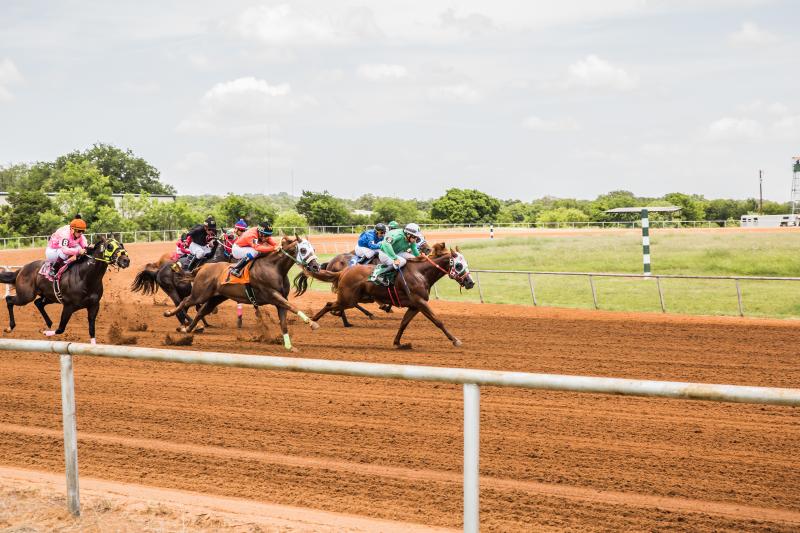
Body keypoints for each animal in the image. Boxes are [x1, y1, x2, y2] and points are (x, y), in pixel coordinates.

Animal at [0, 236, 130, 342]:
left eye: (121, 244)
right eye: (110, 246)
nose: (126, 260)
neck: (85, 277)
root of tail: (21, 269)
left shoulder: (94, 305)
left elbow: (92, 330)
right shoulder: (68, 306)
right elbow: (60, 329)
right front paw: (46, 333)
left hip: (49, 296)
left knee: (38, 303)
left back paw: (49, 323)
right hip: (25, 296)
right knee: (9, 300)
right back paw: (10, 327)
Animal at [162, 236, 322, 352]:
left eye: (313, 248)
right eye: (303, 250)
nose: (315, 266)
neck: (274, 268)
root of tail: (203, 267)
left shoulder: (280, 300)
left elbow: (284, 322)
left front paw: (289, 346)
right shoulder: (272, 294)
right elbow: (292, 306)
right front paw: (312, 323)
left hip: (216, 298)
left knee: (201, 311)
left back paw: (188, 328)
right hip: (200, 294)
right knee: (185, 301)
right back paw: (170, 314)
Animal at [300, 242, 476, 350]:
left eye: (466, 264)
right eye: (458, 265)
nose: (470, 282)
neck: (420, 273)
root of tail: (343, 272)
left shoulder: (414, 306)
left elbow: (403, 323)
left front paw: (398, 342)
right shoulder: (420, 302)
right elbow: (437, 320)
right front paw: (455, 340)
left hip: (356, 298)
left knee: (333, 305)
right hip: (348, 299)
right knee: (329, 304)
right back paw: (314, 321)